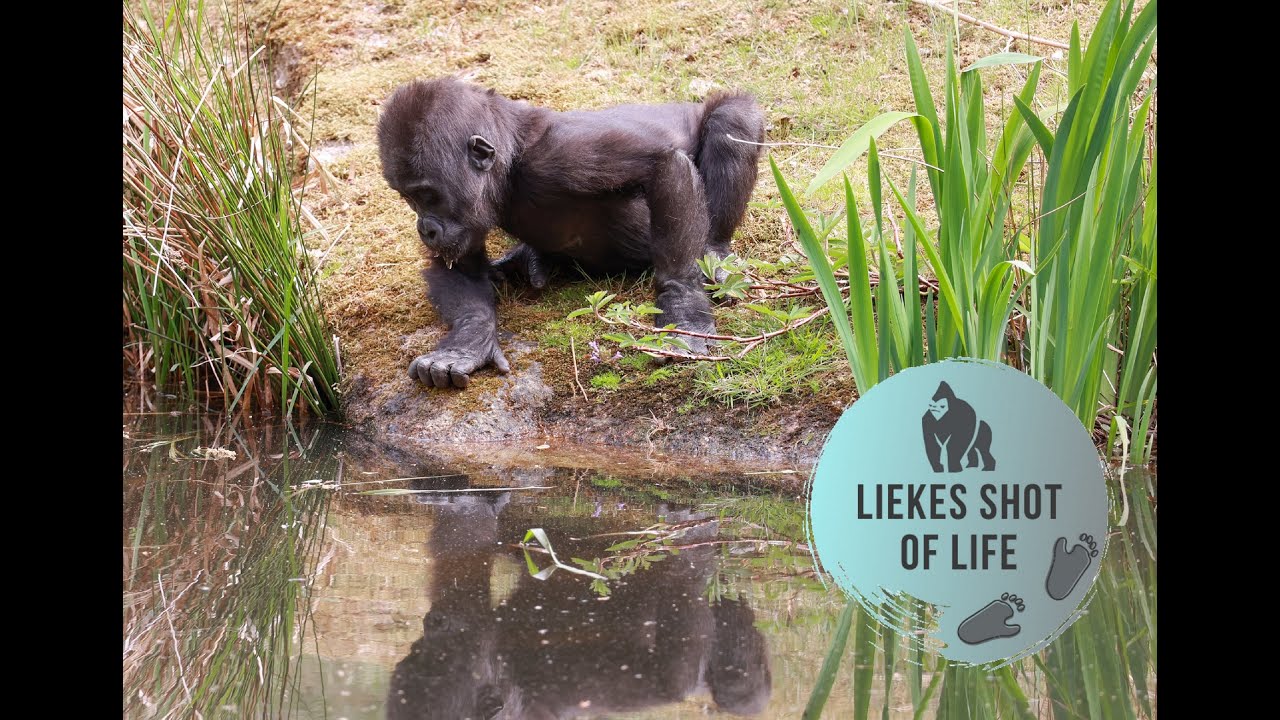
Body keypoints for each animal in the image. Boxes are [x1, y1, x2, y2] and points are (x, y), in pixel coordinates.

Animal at [377, 77, 765, 389]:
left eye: (429, 195)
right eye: (409, 198)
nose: (425, 228)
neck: (510, 163)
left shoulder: (565, 154)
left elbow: (664, 166)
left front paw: (683, 307)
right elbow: (462, 265)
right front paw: (468, 341)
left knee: (731, 119)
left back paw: (715, 251)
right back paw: (531, 258)